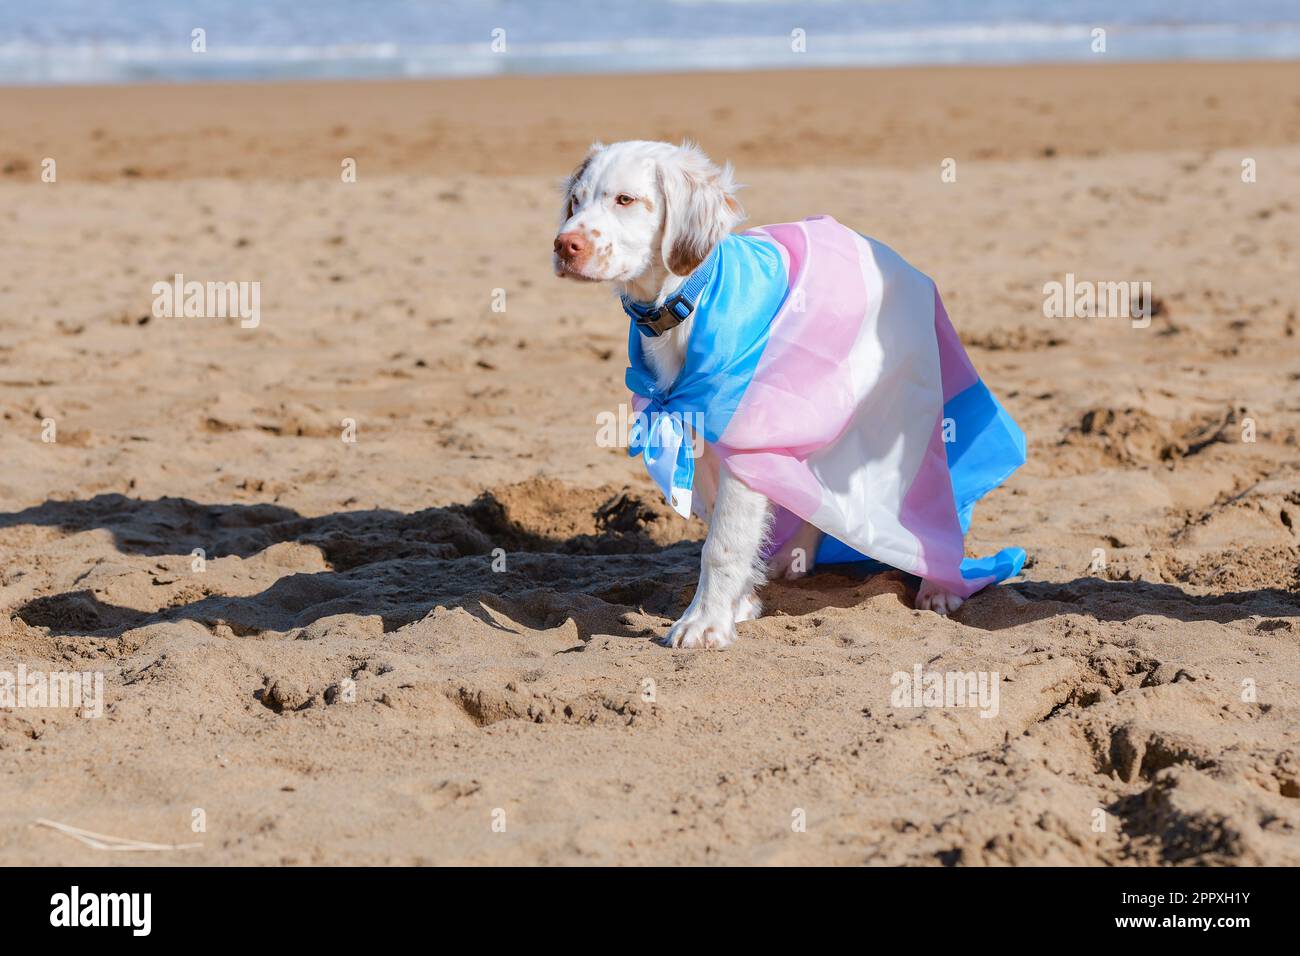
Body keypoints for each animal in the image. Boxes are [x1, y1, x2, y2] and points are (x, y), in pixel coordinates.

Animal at [553, 140, 972, 650]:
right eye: (576, 201)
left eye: (626, 200)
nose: (564, 246)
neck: (689, 300)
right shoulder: (705, 437)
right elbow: (728, 527)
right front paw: (740, 602)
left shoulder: (745, 439)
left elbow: (722, 543)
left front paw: (704, 624)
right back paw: (793, 556)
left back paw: (939, 584)